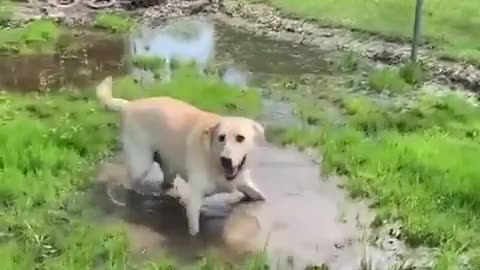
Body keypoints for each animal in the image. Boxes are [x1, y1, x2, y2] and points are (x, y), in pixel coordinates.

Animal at [94, 77, 266, 235]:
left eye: (240, 138)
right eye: (221, 137)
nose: (225, 159)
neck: (213, 158)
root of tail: (129, 104)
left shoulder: (244, 183)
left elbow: (261, 196)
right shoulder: (195, 199)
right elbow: (194, 231)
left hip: (167, 167)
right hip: (140, 164)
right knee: (130, 182)